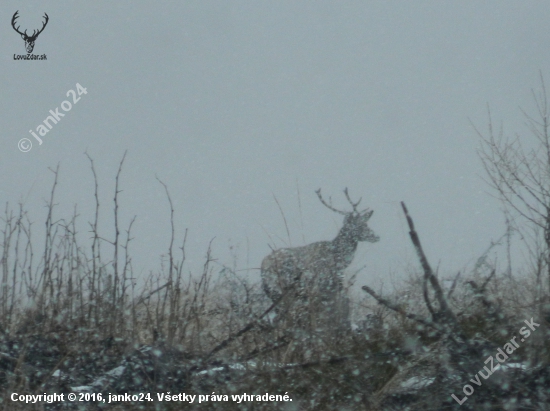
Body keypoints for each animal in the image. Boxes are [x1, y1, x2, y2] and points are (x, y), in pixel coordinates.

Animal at [260, 190, 378, 338]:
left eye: (366, 224)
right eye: (360, 225)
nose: (376, 236)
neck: (337, 259)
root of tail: (263, 266)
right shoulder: (319, 287)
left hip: (275, 293)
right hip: (280, 288)